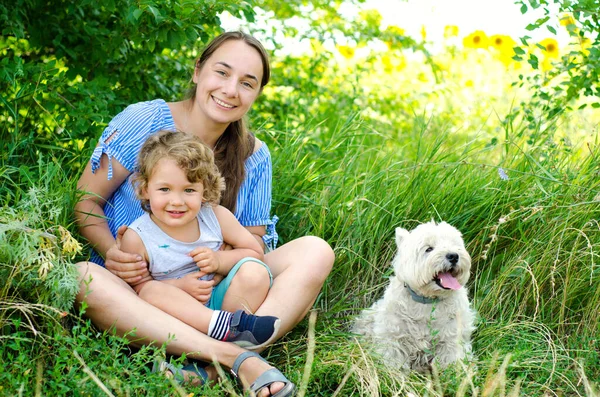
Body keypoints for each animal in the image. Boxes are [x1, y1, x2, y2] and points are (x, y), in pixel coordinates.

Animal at [352, 221, 474, 370]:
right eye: (429, 249)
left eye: (456, 245)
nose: (454, 256)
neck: (427, 300)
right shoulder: (393, 337)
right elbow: (392, 361)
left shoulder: (451, 339)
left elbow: (452, 361)